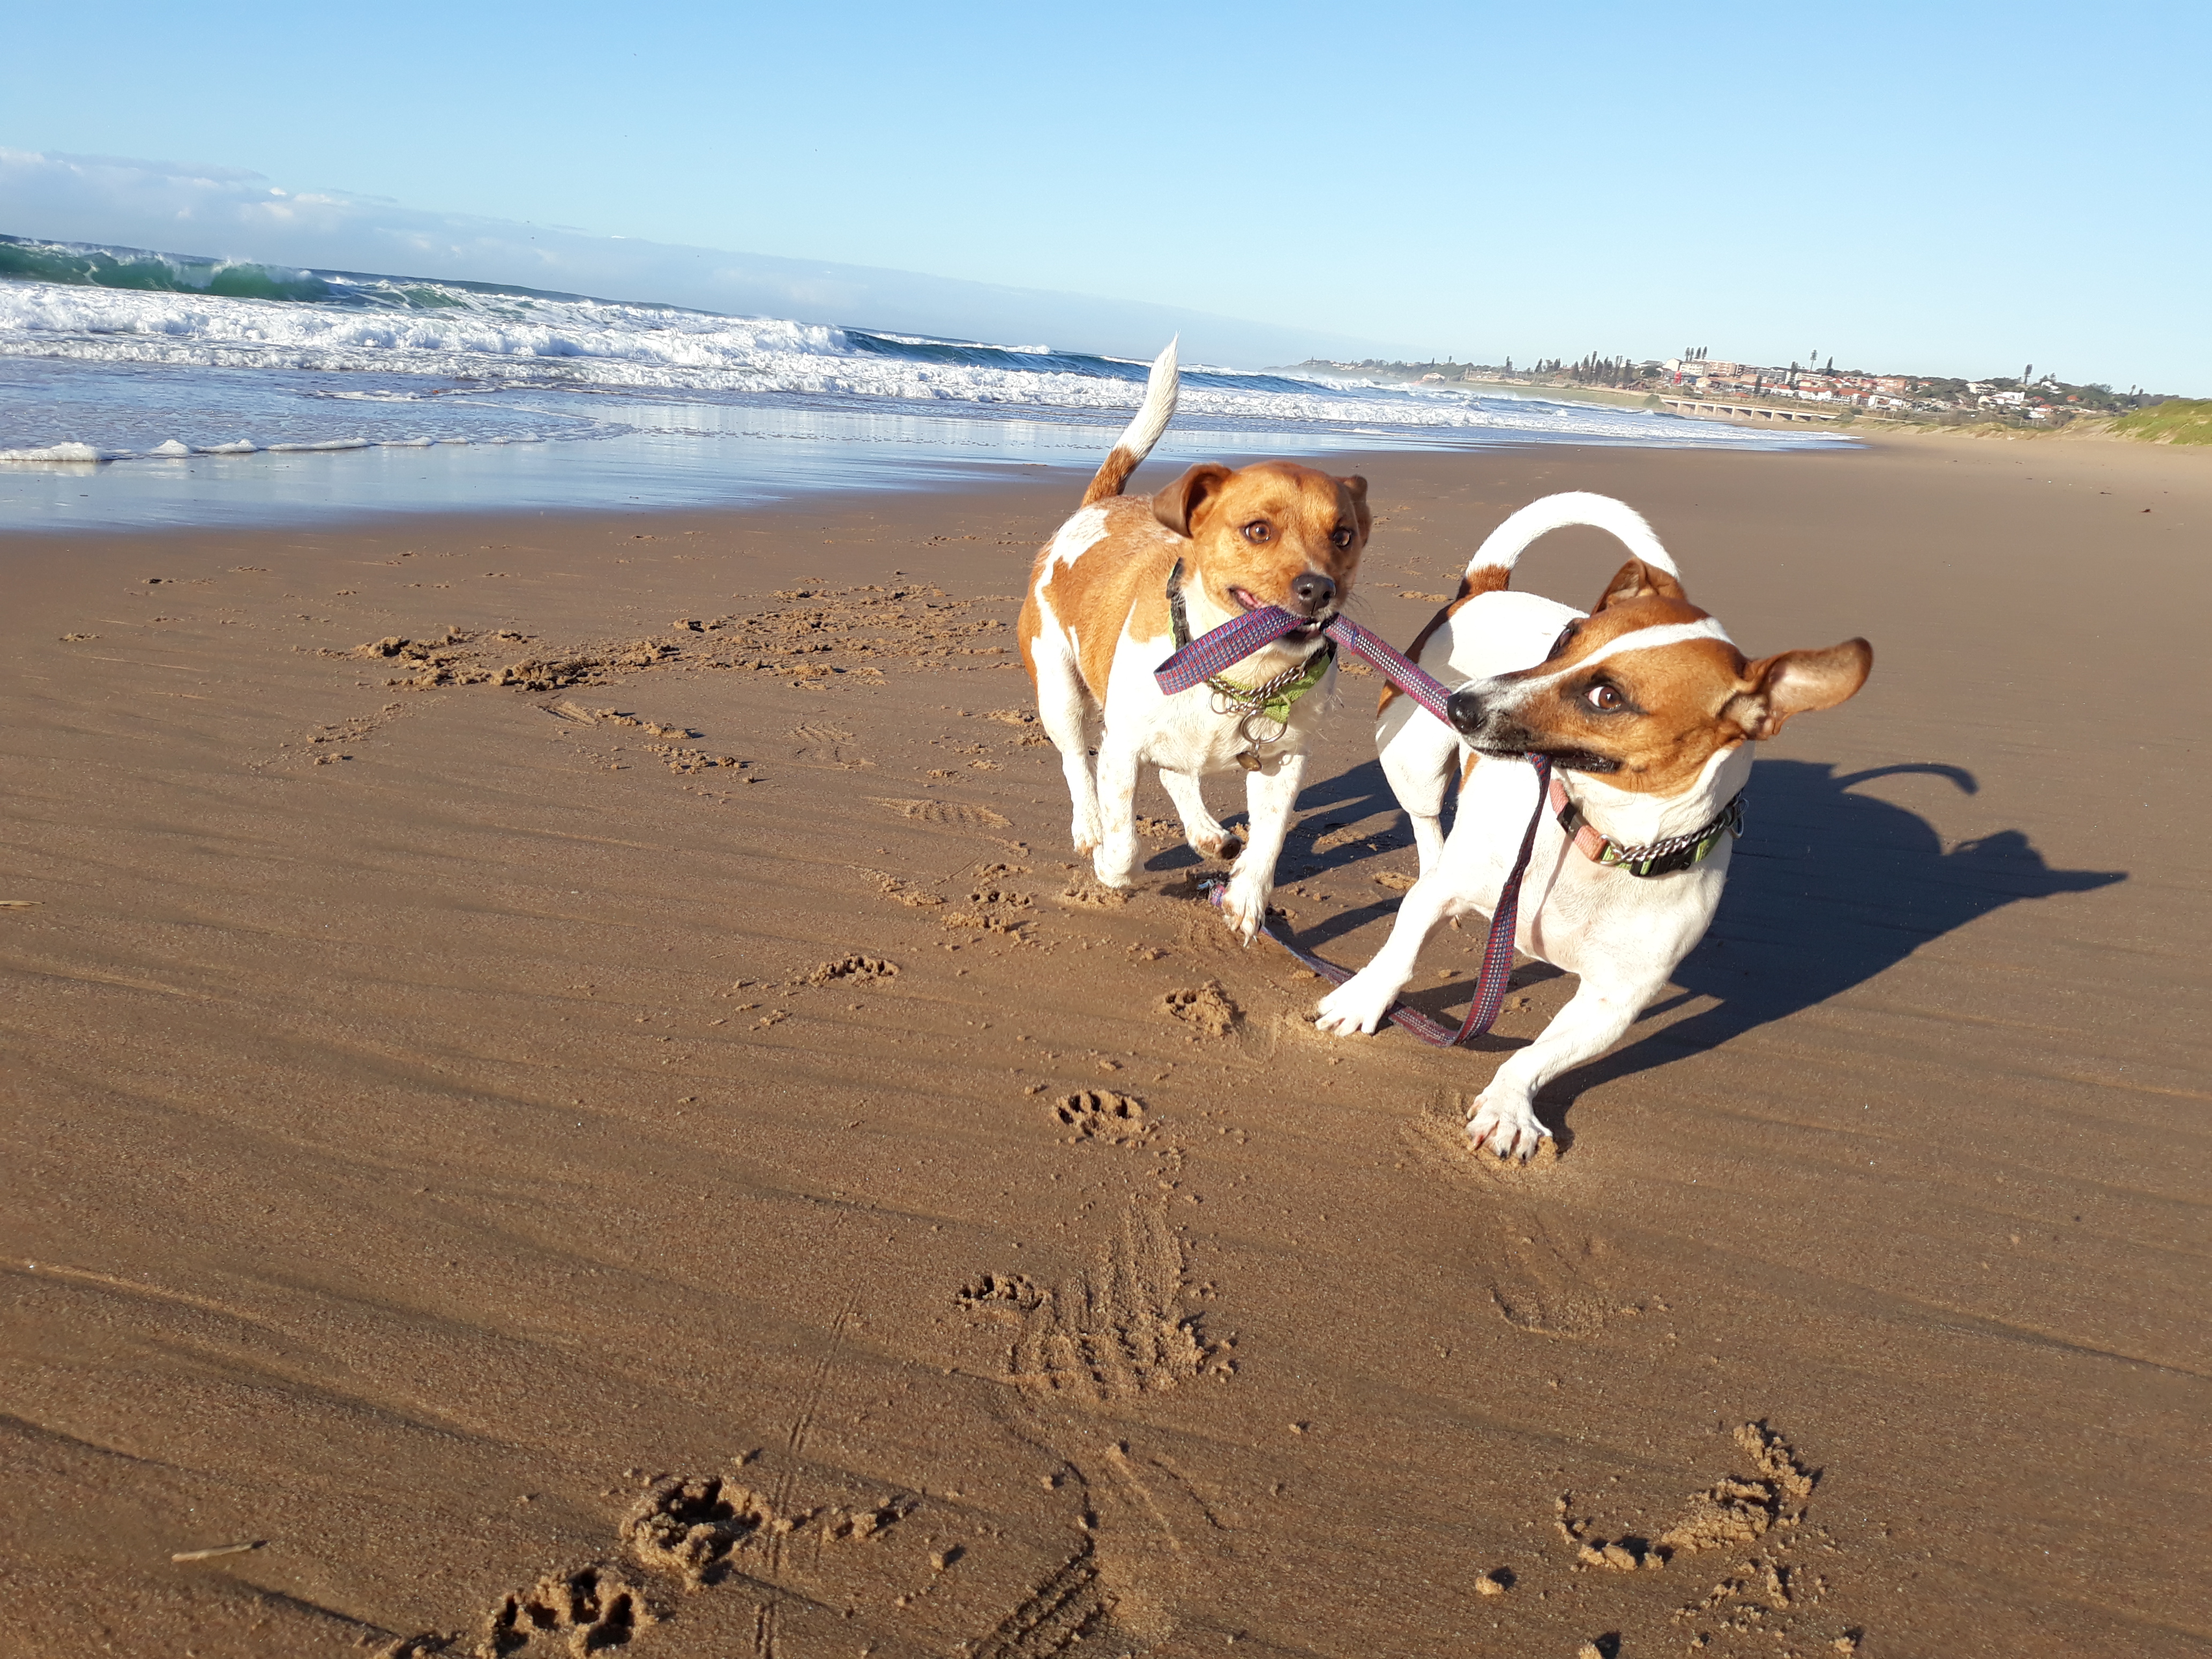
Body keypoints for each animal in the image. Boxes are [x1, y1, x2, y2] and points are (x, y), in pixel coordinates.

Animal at [1017, 345, 1362, 942]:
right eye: (1257, 531)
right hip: (1059, 692)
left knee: (1176, 774)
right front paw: (1110, 863)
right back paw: (1089, 828)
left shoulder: (1284, 761)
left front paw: (1246, 897)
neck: (1238, 669)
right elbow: (1124, 843)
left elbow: (1270, 840)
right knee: (1076, 763)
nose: (1320, 588)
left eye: (1344, 536)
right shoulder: (1121, 748)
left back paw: (1207, 833)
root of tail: (1094, 508)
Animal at [1309, 497, 1867, 1159]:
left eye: (1607, 697)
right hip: (1413, 762)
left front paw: (1509, 1106)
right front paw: (1362, 1001)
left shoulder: (1615, 1000)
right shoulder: (1445, 893)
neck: (1596, 835)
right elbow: (1398, 954)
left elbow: (1538, 1055)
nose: (1460, 703)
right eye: (1565, 639)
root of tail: (1486, 589)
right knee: (1426, 832)